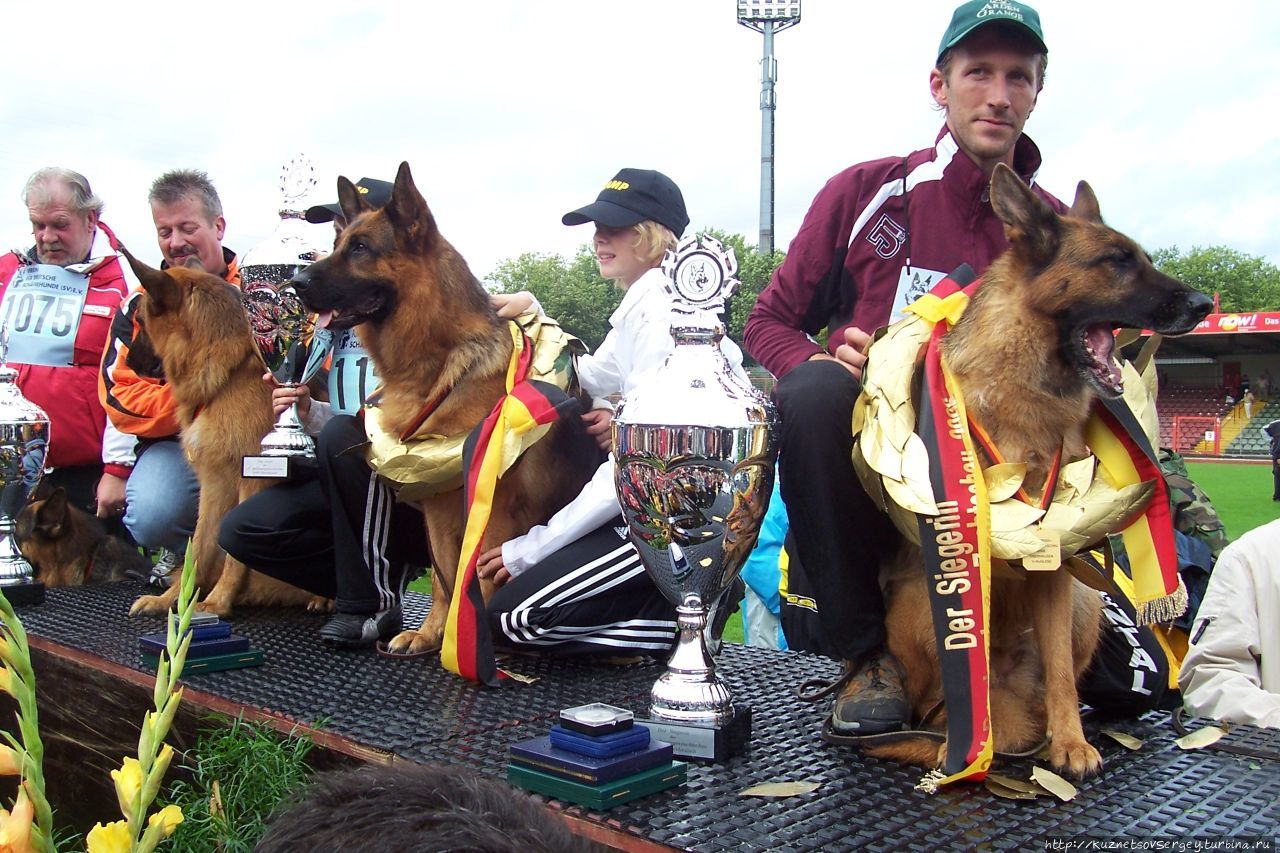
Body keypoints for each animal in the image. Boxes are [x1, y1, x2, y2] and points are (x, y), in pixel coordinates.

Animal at [120, 249, 322, 614]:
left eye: (140, 319)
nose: (129, 365)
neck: (230, 371)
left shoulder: (253, 479)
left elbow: (232, 553)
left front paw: (216, 601)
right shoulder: (214, 484)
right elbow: (199, 547)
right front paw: (173, 600)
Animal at [293, 161, 601, 650]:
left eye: (360, 248)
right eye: (338, 244)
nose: (295, 283)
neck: (443, 365)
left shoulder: (494, 511)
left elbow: (481, 578)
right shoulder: (439, 508)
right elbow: (444, 576)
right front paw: (432, 632)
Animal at [865, 161, 1213, 778]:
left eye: (1143, 257)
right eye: (1116, 262)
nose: (1203, 303)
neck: (1024, 389)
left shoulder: (1052, 561)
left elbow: (1060, 675)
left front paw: (1071, 743)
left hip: (1083, 602)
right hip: (916, 604)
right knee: (935, 700)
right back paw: (947, 734)